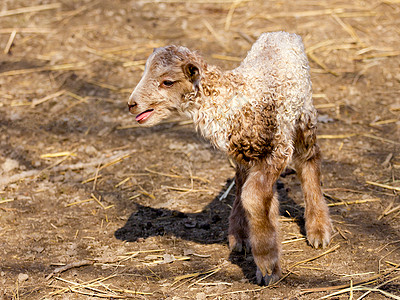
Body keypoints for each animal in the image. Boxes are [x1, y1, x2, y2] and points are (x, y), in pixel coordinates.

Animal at [127, 31, 332, 284]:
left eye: (167, 82)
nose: (132, 105)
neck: (230, 99)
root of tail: (282, 33)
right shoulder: (248, 153)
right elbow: (248, 192)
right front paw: (253, 244)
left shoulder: (278, 149)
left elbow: (252, 197)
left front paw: (267, 267)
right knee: (246, 183)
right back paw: (242, 235)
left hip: (304, 115)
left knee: (309, 160)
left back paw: (318, 230)